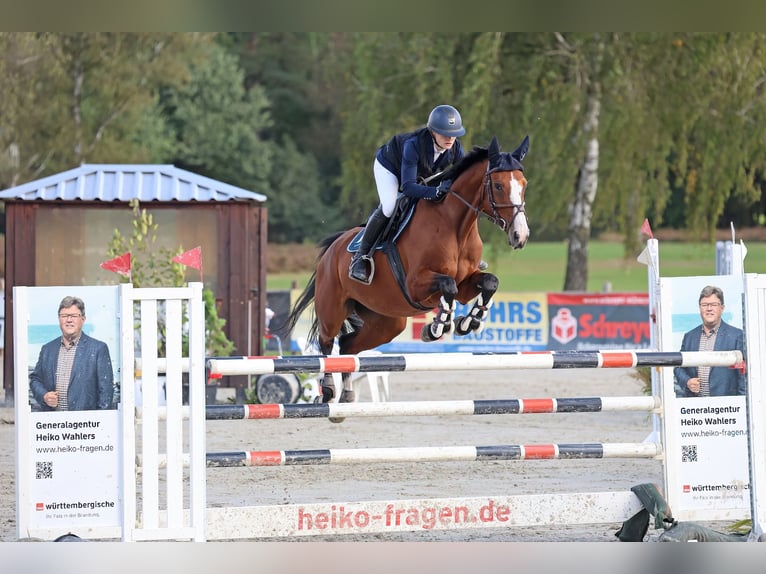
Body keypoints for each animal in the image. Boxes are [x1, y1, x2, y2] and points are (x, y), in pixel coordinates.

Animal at [284, 135, 532, 414]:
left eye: (524, 184)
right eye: (498, 186)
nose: (520, 236)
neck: (455, 227)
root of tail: (331, 250)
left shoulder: (466, 283)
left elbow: (489, 281)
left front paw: (468, 322)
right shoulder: (416, 285)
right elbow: (448, 286)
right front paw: (437, 326)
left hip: (386, 322)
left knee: (348, 345)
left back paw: (347, 396)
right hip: (332, 308)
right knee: (327, 343)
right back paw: (327, 391)